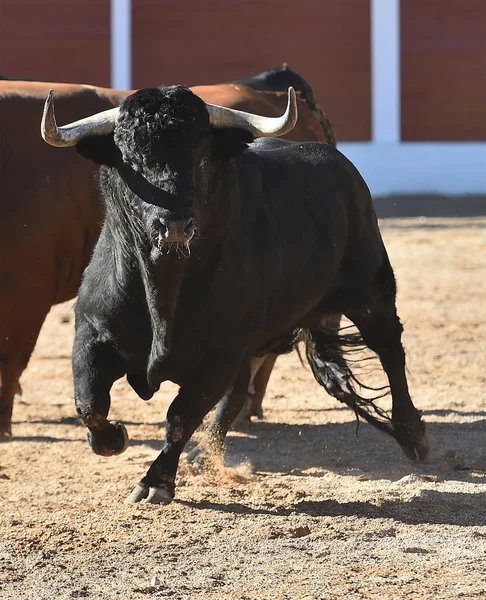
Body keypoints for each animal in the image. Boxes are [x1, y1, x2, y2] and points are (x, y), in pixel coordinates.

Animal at [42, 85, 430, 506]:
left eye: (202, 158)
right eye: (129, 160)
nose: (173, 225)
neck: (164, 290)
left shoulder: (220, 352)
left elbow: (180, 415)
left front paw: (155, 482)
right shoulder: (91, 332)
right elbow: (90, 403)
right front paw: (115, 438)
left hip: (371, 290)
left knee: (390, 348)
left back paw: (413, 436)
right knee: (240, 390)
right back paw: (201, 454)